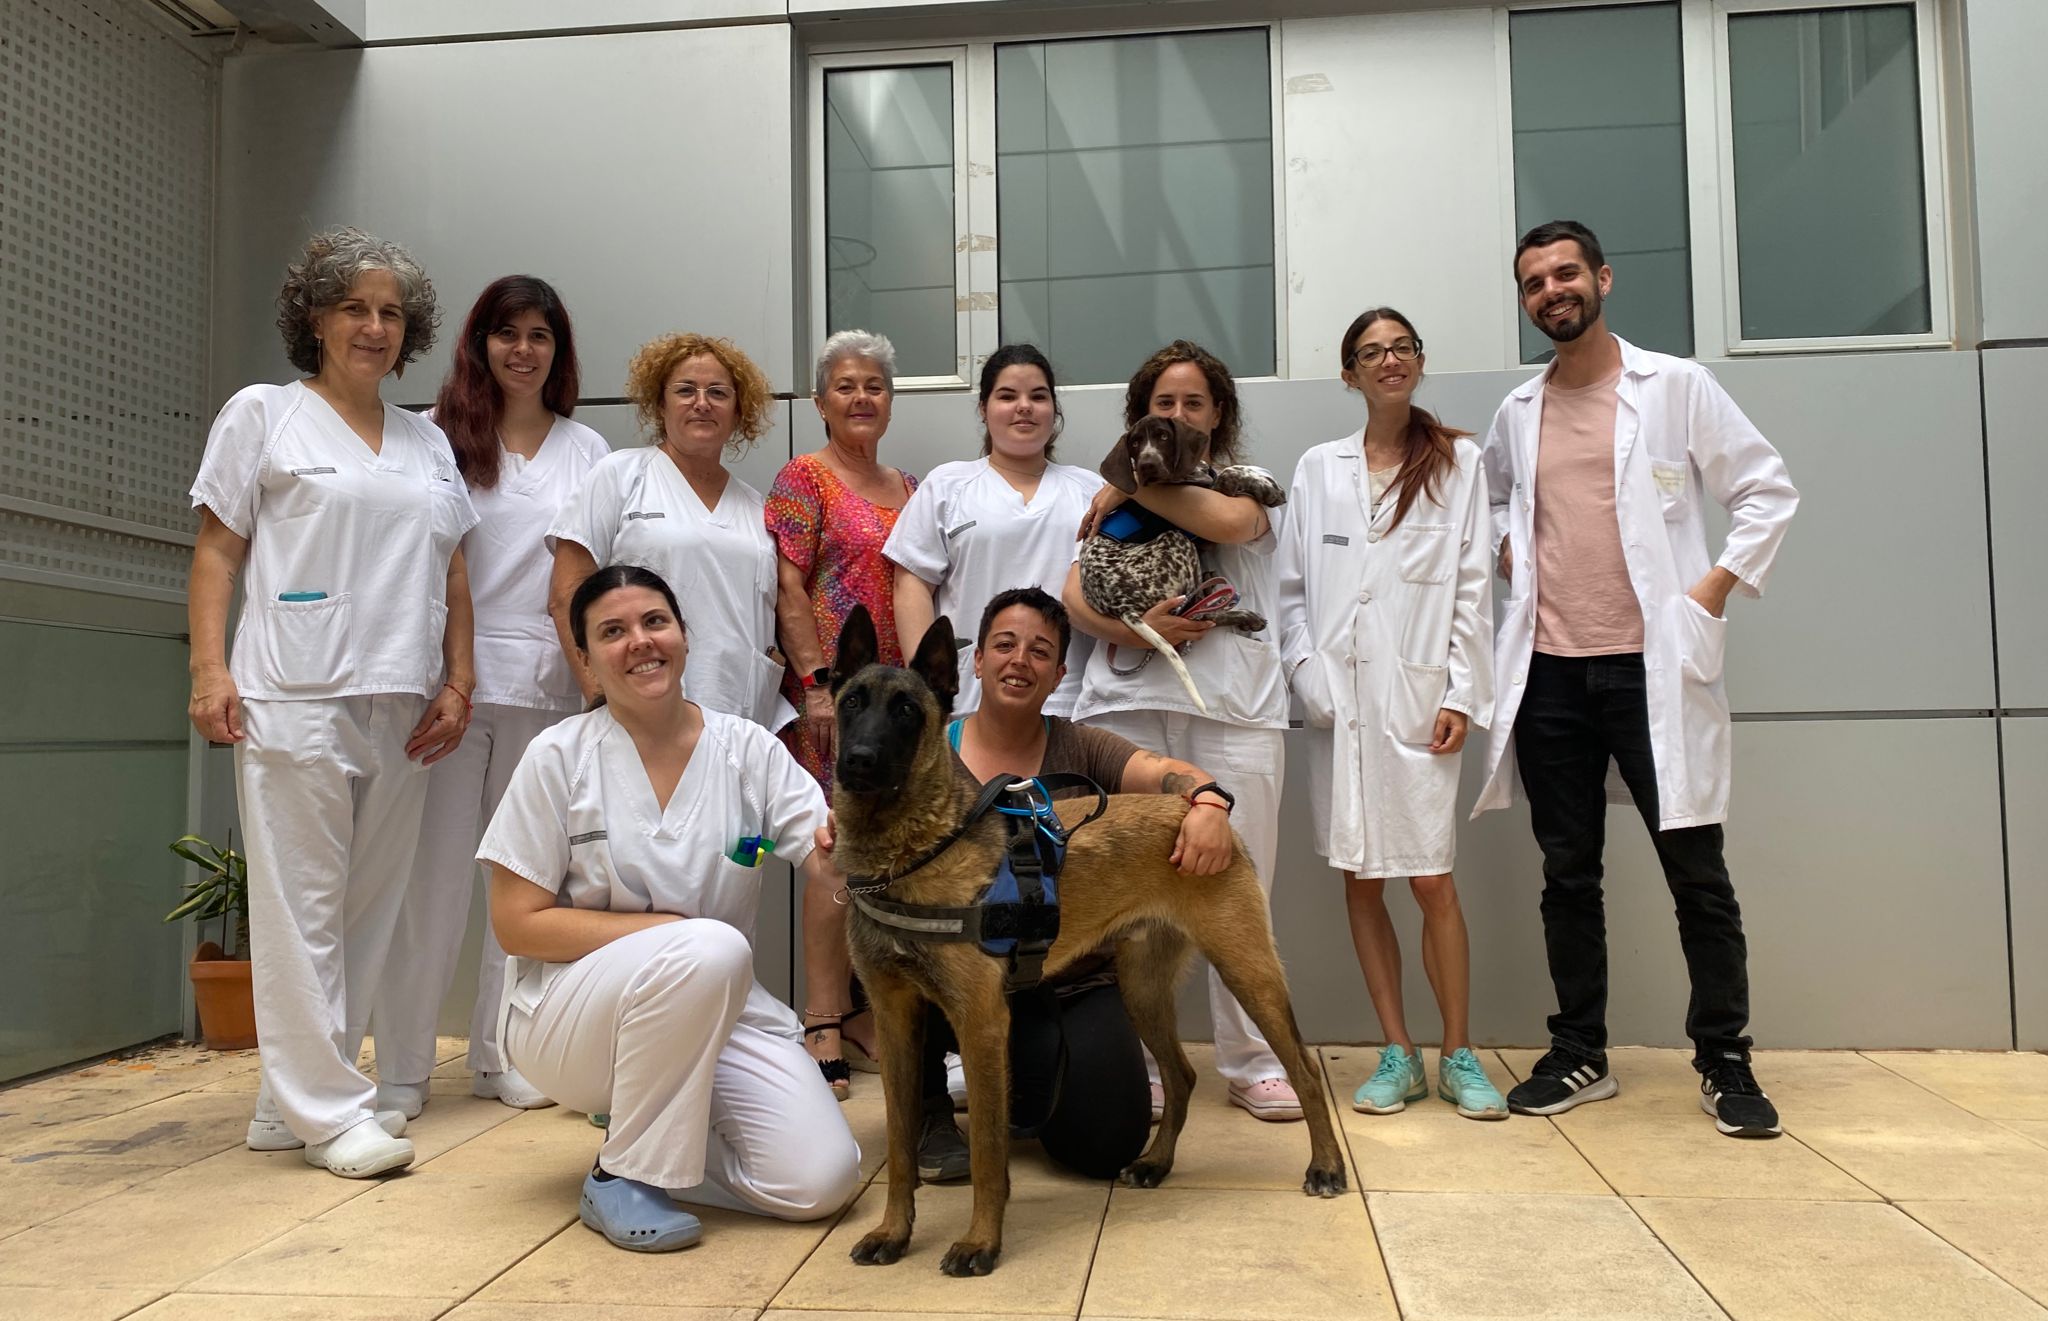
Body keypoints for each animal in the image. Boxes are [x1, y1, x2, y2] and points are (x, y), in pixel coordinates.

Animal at [831, 602, 1343, 1269]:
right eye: (852, 703)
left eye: (907, 711)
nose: (860, 760)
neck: (911, 853)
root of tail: (1192, 808)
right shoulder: (897, 1023)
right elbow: (898, 1146)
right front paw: (894, 1232)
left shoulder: (980, 1021)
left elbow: (988, 1153)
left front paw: (980, 1242)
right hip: (1142, 989)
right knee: (1181, 1075)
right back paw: (1155, 1162)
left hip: (1247, 971)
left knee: (1304, 1068)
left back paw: (1326, 1165)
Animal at [1081, 419, 1286, 712]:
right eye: (1135, 443)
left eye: (1163, 436)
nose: (1147, 465)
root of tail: (1121, 607)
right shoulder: (1202, 533)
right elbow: (1226, 474)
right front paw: (1266, 487)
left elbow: (1223, 472)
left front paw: (1261, 480)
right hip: (1177, 541)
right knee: (1196, 617)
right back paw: (1242, 614)